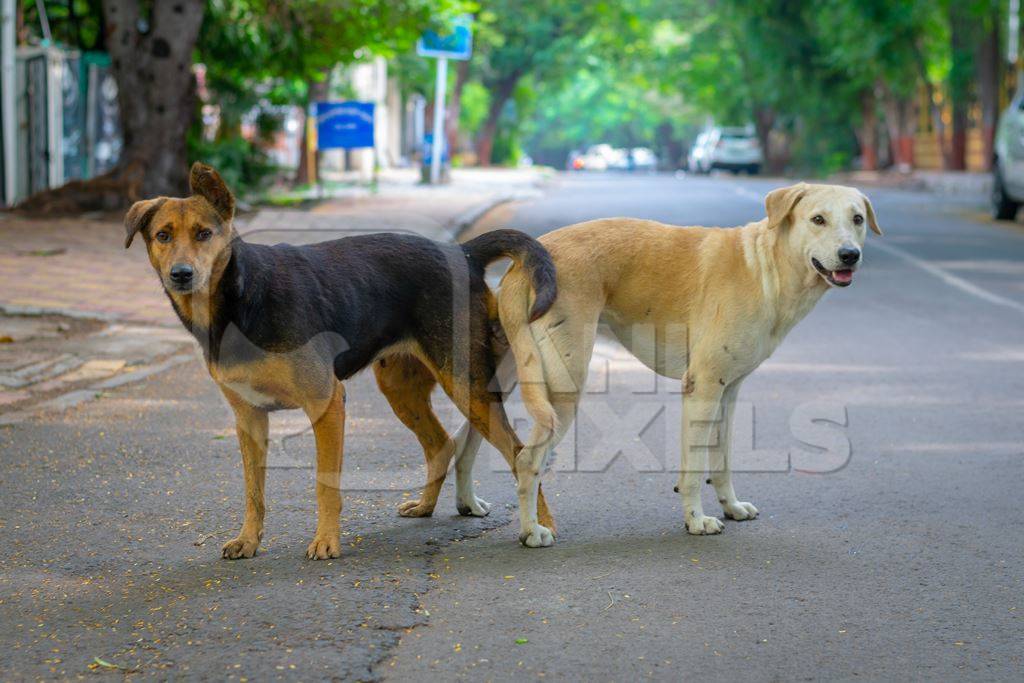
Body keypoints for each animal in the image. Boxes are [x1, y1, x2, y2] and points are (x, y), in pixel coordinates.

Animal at [129, 165, 561, 561]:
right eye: (163, 236)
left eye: (204, 233)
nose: (181, 275)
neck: (239, 299)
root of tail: (463, 253)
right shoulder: (249, 417)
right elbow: (254, 491)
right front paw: (248, 540)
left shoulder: (327, 403)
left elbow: (326, 484)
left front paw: (325, 542)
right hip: (400, 388)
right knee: (441, 445)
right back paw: (425, 507)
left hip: (467, 384)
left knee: (519, 453)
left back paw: (541, 528)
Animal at [475, 181, 876, 544]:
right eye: (818, 219)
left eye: (857, 219)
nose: (849, 254)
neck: (765, 268)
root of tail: (528, 259)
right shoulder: (702, 388)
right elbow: (694, 470)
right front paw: (696, 520)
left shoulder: (727, 393)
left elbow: (722, 460)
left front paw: (731, 507)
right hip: (561, 393)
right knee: (526, 460)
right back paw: (531, 531)